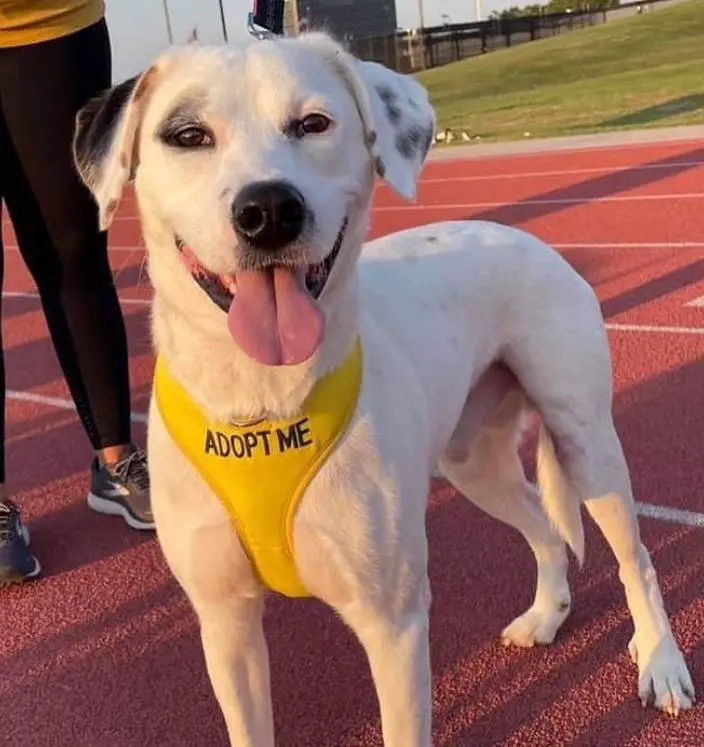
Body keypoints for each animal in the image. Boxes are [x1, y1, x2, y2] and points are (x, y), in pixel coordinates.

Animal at [70, 32, 692, 744]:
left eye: (313, 124)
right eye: (187, 134)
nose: (269, 210)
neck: (264, 404)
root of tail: (522, 236)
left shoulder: (393, 625)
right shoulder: (226, 626)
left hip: (586, 443)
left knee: (635, 557)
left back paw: (661, 660)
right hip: (471, 463)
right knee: (543, 525)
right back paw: (547, 615)